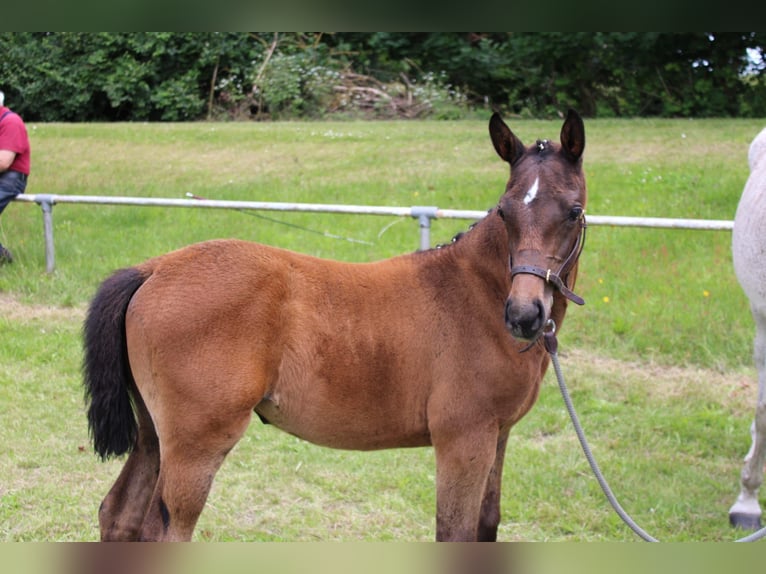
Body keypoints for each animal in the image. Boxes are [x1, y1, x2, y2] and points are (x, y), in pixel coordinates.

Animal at [84, 110, 588, 544]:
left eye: (573, 211)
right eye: (504, 211)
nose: (523, 315)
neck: (476, 292)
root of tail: (153, 269)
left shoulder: (497, 435)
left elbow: (487, 525)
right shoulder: (463, 438)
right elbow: (455, 533)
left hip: (154, 436)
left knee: (118, 514)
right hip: (195, 445)